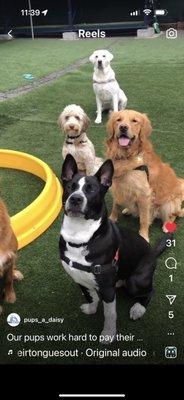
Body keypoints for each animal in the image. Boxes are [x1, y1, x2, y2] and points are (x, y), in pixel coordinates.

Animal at [59, 153, 172, 344]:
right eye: (69, 186)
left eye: (92, 190)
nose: (75, 198)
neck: (82, 237)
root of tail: (152, 252)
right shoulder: (79, 279)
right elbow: (90, 295)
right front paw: (91, 308)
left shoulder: (107, 289)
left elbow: (110, 314)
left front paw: (108, 334)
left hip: (136, 281)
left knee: (149, 291)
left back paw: (138, 308)